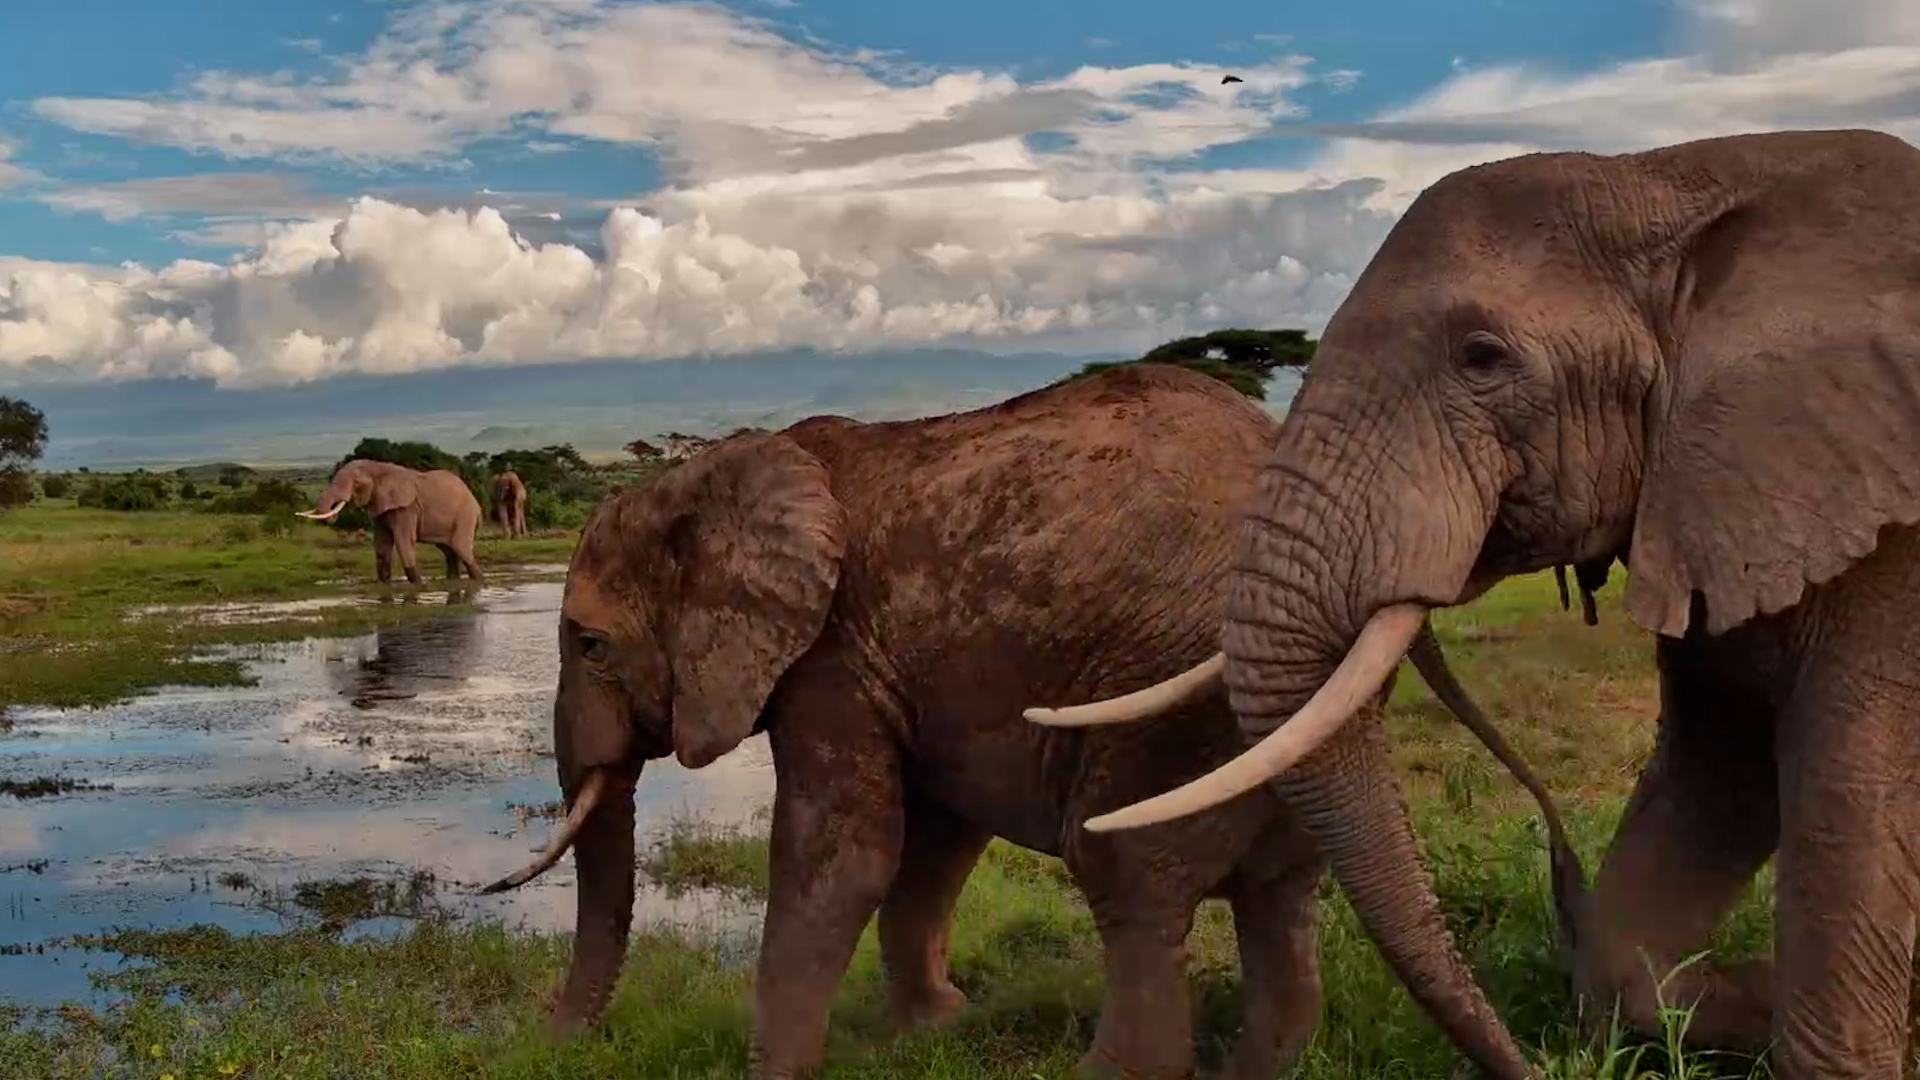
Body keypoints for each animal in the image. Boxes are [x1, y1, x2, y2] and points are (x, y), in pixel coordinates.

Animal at [298, 458, 484, 585]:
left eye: (357, 483)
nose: (333, 514)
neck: (378, 467)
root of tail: (477, 505)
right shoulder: (379, 506)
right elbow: (381, 544)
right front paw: (384, 584)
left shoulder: (406, 508)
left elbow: (403, 541)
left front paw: (418, 585)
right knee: (449, 551)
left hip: (465, 516)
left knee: (461, 548)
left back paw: (479, 580)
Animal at [477, 362, 1562, 1080]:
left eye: (588, 645)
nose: (545, 1043)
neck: (711, 476)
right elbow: (935, 841)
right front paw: (936, 1030)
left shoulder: (830, 653)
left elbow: (845, 853)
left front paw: (777, 1072)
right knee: (1280, 892)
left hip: (1177, 695)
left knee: (1128, 877)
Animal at [1023, 128, 1920, 1079]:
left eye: (1483, 357)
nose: (1531, 1065)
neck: (1673, 176)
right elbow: (1715, 779)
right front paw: (1744, 1007)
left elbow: (1847, 801)